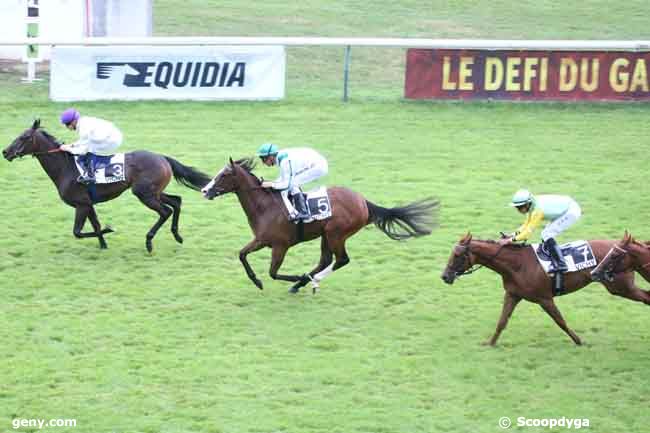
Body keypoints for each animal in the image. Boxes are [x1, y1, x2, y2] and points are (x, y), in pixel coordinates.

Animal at [2, 120, 210, 251]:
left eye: (24, 137)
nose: (5, 152)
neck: (65, 168)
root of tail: (162, 157)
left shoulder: (81, 204)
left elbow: (78, 232)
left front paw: (109, 230)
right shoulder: (88, 204)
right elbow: (95, 225)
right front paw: (103, 244)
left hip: (144, 194)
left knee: (165, 211)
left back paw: (149, 241)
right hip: (153, 192)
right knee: (176, 202)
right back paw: (177, 235)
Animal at [200, 157, 438, 292]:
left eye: (224, 174)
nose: (204, 190)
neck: (265, 206)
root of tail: (363, 202)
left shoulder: (280, 246)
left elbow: (273, 272)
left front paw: (298, 276)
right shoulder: (261, 240)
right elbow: (242, 254)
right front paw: (257, 281)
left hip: (336, 234)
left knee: (341, 260)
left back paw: (308, 280)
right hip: (326, 234)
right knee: (326, 260)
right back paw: (303, 283)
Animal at [438, 231, 648, 346]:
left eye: (457, 255)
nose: (445, 276)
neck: (517, 264)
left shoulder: (544, 299)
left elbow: (560, 321)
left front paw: (579, 341)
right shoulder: (512, 295)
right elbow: (502, 321)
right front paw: (490, 343)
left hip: (621, 287)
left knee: (646, 297)